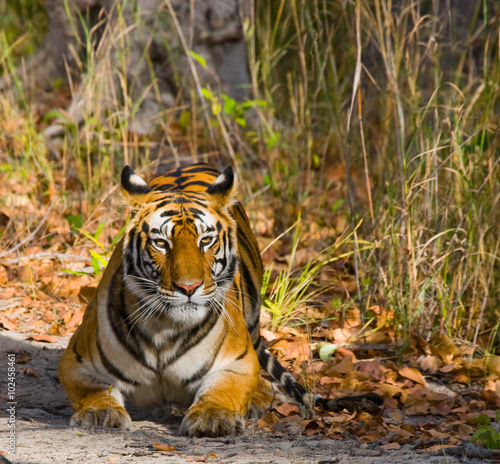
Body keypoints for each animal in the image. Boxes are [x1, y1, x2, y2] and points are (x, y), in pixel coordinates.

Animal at [57, 163, 378, 436]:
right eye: (161, 243)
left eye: (205, 241)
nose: (188, 287)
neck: (164, 329)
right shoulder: (76, 361)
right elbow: (94, 390)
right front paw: (100, 413)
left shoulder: (237, 361)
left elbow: (224, 390)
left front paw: (213, 417)